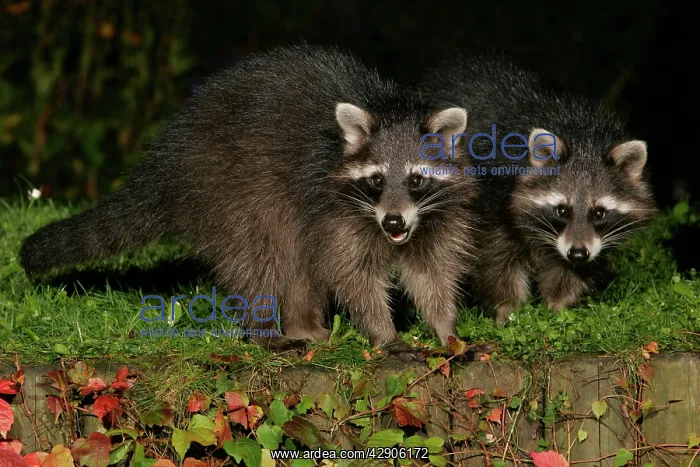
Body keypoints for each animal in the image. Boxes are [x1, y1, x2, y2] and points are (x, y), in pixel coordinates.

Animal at [19, 45, 477, 350]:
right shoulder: (334, 209)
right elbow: (352, 273)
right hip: (229, 191)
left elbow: (433, 271)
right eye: (377, 180)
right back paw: (265, 331)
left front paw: (445, 328)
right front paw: (384, 333)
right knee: (260, 257)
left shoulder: (435, 216)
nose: (393, 223)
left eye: (415, 180)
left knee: (296, 262)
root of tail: (165, 161)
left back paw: (302, 323)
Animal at [416, 53, 655, 323]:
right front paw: (506, 309)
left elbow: (566, 271)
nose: (578, 253)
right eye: (562, 210)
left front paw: (559, 305)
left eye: (599, 213)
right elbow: (495, 259)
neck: (582, 137)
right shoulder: (490, 197)